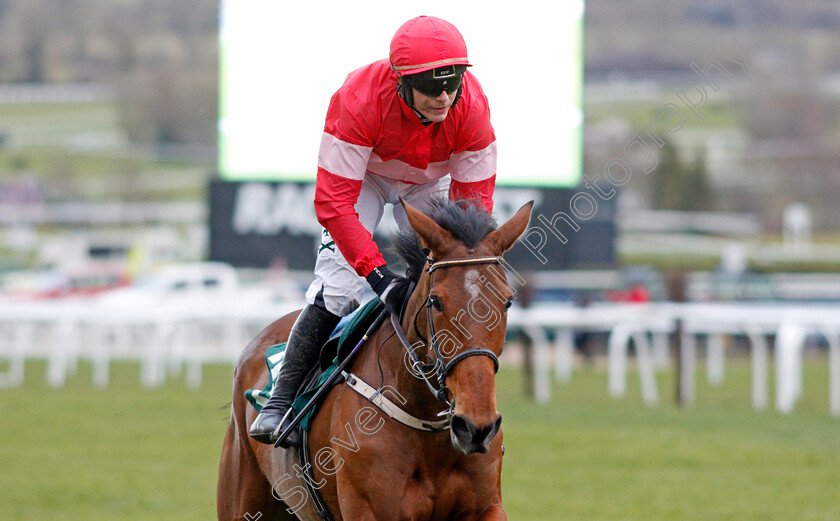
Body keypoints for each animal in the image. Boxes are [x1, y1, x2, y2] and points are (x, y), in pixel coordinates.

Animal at [217, 198, 532, 520]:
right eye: (436, 302)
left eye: (507, 301)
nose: (475, 426)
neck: (427, 427)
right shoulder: (370, 509)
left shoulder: (487, 507)